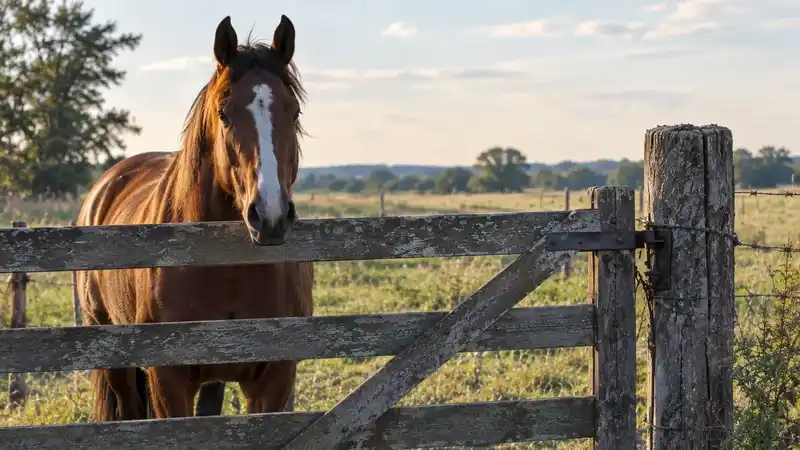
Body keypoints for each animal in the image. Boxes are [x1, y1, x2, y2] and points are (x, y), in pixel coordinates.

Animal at [74, 14, 313, 420]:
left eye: (293, 111)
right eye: (224, 114)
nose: (270, 216)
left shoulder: (275, 377)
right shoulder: (167, 379)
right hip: (113, 357)